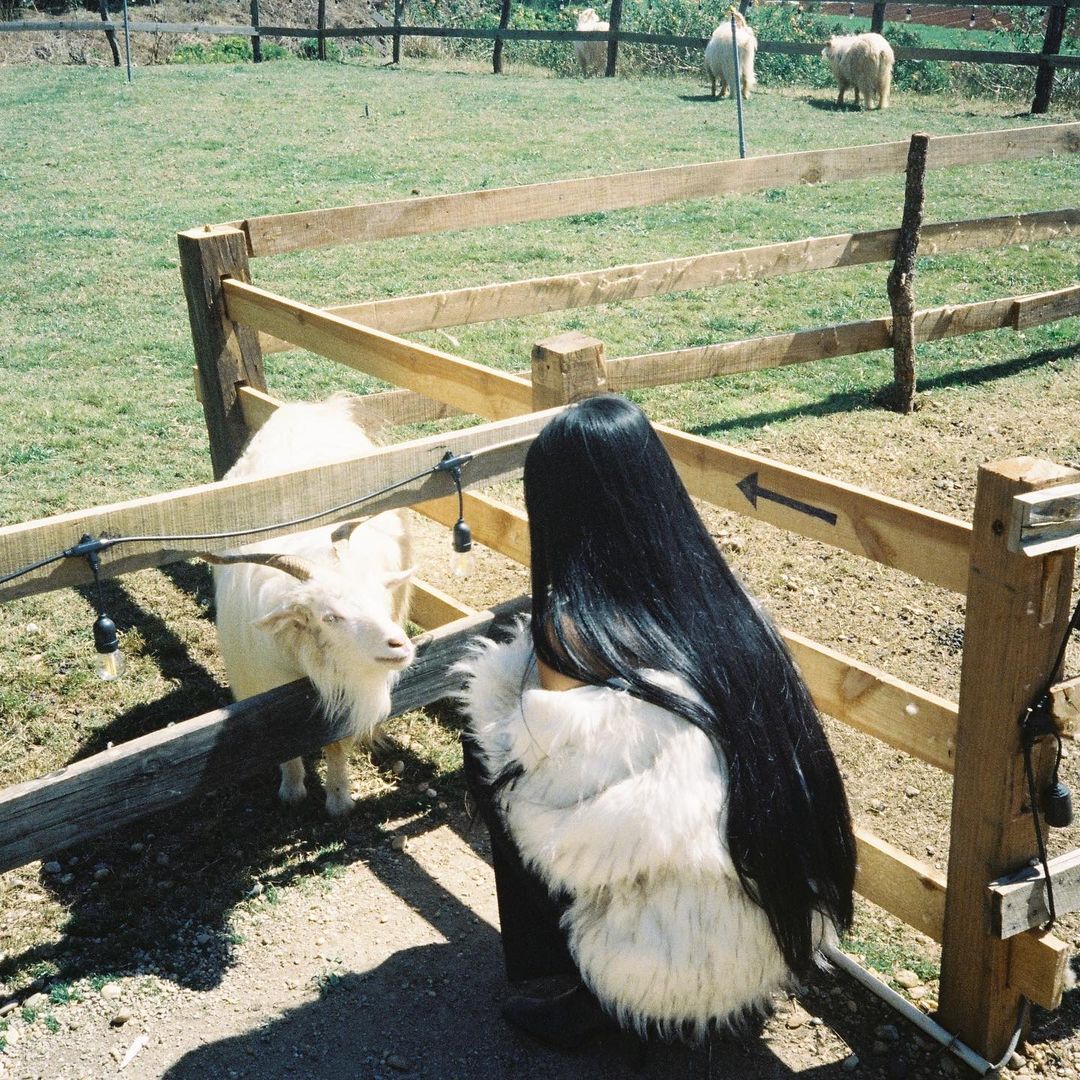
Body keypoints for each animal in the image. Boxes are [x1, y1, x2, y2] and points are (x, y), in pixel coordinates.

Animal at [209, 397, 412, 816]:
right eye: (329, 617)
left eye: (379, 596)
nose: (399, 645)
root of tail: (312, 408)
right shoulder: (261, 688)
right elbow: (282, 742)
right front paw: (291, 789)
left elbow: (336, 742)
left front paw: (338, 798)